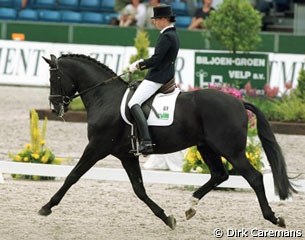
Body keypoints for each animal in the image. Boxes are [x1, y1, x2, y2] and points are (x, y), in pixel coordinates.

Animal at [39, 54, 294, 229]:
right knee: (219, 175)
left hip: (230, 149)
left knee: (254, 178)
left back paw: (274, 218)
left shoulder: (96, 147)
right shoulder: (124, 155)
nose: (54, 107)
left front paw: (46, 207)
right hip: (206, 147)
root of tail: (239, 102)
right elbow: (139, 189)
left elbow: (72, 176)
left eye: (54, 77)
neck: (105, 98)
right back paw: (189, 207)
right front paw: (167, 218)